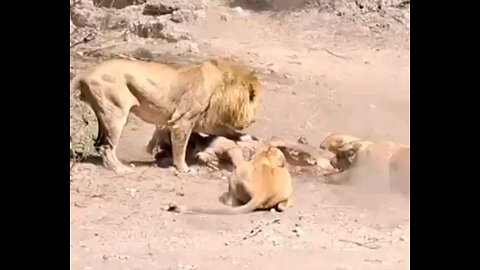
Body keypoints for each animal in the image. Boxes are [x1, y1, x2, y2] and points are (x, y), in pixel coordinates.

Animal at [69, 58, 260, 174]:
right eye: (253, 98)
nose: (253, 120)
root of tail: (85, 72)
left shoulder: (206, 121)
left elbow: (230, 131)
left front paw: (250, 138)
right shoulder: (183, 121)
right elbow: (181, 148)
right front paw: (184, 168)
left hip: (106, 115)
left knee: (99, 144)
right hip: (116, 114)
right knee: (106, 147)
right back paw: (121, 169)